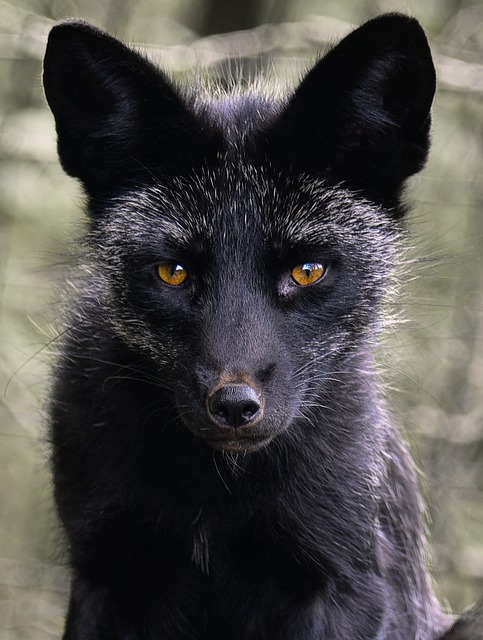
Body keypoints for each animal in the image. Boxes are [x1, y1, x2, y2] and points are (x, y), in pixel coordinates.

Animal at [43, 11, 482, 640]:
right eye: (173, 272)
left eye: (307, 270)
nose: (233, 405)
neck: (217, 498)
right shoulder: (107, 567)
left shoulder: (339, 576)